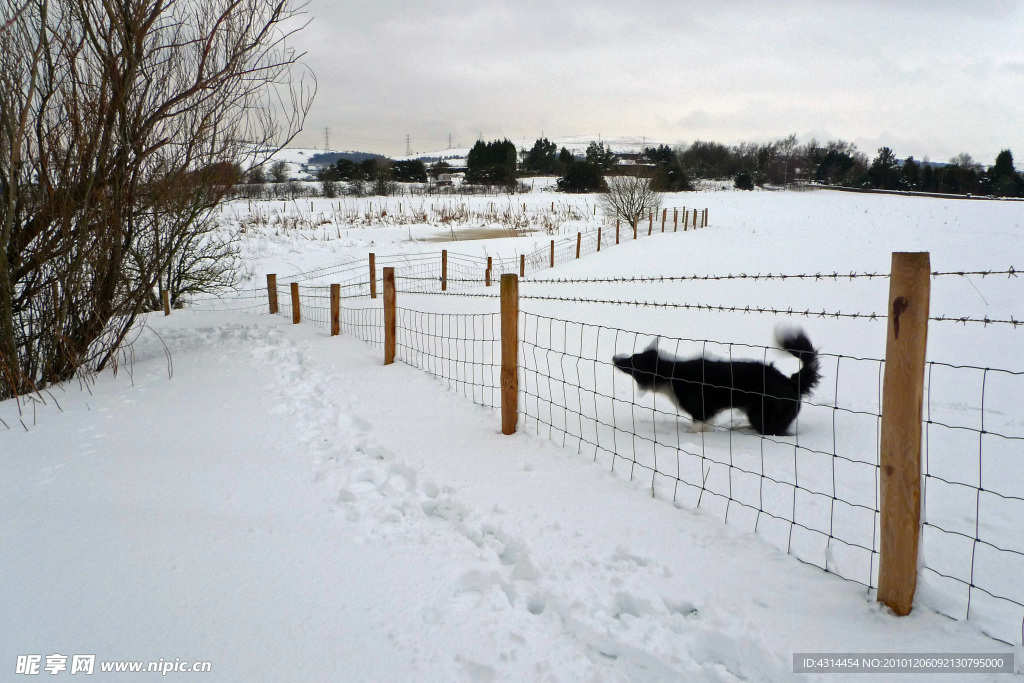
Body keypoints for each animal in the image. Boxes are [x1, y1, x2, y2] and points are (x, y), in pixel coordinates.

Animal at [610, 327, 819, 436]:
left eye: (632, 361)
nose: (614, 358)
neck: (669, 373)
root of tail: (792, 382)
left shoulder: (701, 409)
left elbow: (697, 426)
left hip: (762, 414)